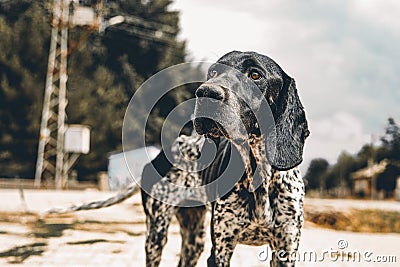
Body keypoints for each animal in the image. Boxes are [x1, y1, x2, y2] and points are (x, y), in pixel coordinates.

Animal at [141, 50, 310, 267]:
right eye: (213, 72)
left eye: (255, 75)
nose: (205, 92)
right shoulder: (220, 250)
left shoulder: (286, 250)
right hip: (157, 234)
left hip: (194, 239)